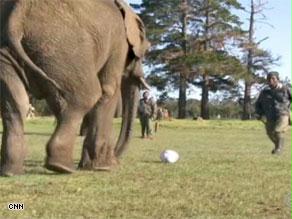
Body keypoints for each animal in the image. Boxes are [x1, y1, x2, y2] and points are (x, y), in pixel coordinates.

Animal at [0, 0, 151, 176]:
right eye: (146, 50)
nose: (117, 157)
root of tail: (17, 15)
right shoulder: (118, 41)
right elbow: (109, 88)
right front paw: (104, 167)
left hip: (9, 53)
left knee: (16, 104)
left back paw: (11, 172)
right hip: (63, 50)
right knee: (88, 96)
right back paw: (62, 167)